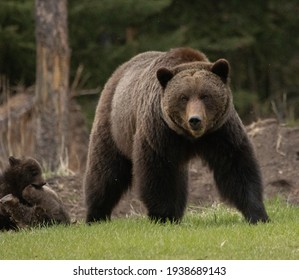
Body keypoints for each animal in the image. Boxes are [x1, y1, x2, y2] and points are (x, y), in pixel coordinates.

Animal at [84, 47, 270, 224]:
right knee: (106, 172)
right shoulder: (160, 133)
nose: (195, 120)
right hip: (114, 126)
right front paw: (162, 216)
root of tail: (119, 71)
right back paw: (96, 215)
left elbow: (237, 167)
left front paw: (258, 214)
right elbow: (158, 173)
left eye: (205, 95)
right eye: (183, 97)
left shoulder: (221, 132)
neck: (191, 137)